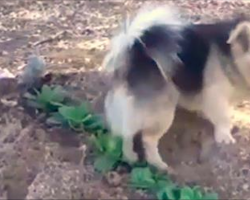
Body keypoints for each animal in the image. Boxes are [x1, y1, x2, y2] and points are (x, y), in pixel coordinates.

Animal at [102, 4, 250, 173]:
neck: (233, 53)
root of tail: (137, 54)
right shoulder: (215, 95)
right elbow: (223, 118)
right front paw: (225, 136)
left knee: (127, 132)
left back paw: (130, 156)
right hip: (163, 112)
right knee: (148, 139)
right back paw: (158, 164)